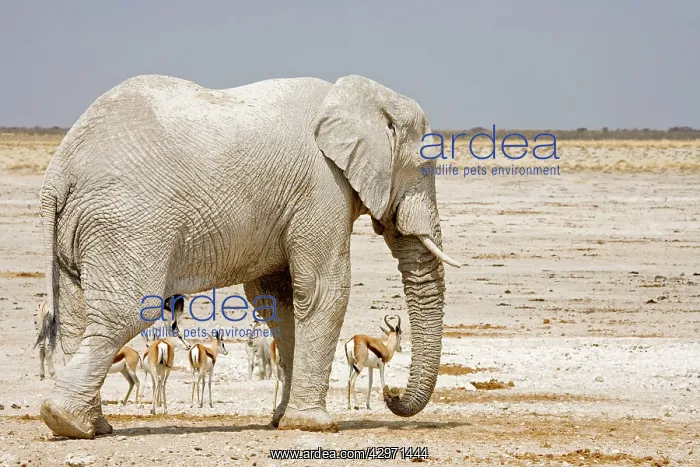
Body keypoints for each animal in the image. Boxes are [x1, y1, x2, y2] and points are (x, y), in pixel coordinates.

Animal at [37, 73, 461, 439]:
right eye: (424, 167)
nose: (393, 397)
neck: (358, 98)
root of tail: (59, 172)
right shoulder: (322, 186)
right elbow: (322, 290)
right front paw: (314, 425)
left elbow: (279, 299)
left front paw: (281, 420)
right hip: (128, 222)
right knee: (125, 312)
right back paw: (64, 421)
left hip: (83, 228)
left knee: (77, 318)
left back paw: (93, 426)